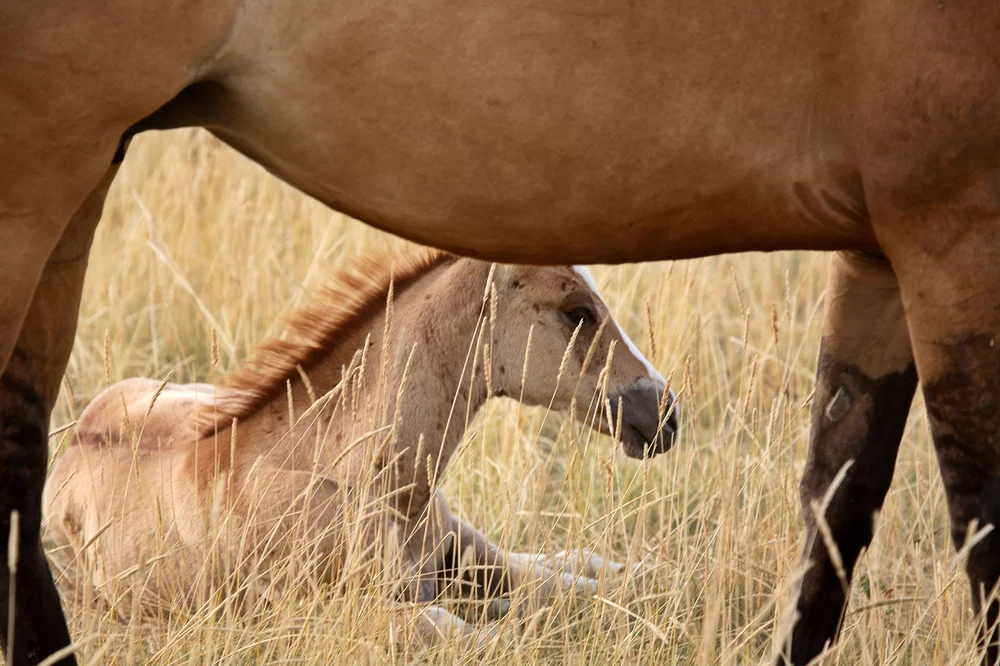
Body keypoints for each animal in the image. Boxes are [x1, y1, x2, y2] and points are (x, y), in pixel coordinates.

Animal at [41, 248, 677, 645]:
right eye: (577, 312)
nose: (667, 414)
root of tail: (75, 435)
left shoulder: (471, 557)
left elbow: (580, 584)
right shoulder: (339, 613)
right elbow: (476, 630)